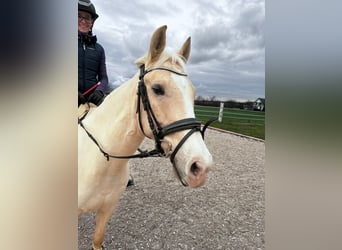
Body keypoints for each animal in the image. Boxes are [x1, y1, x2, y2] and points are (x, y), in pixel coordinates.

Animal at [78, 25, 212, 250]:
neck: (102, 161)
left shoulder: (106, 211)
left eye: (193, 92)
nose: (201, 166)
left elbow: (97, 240)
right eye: (157, 89)